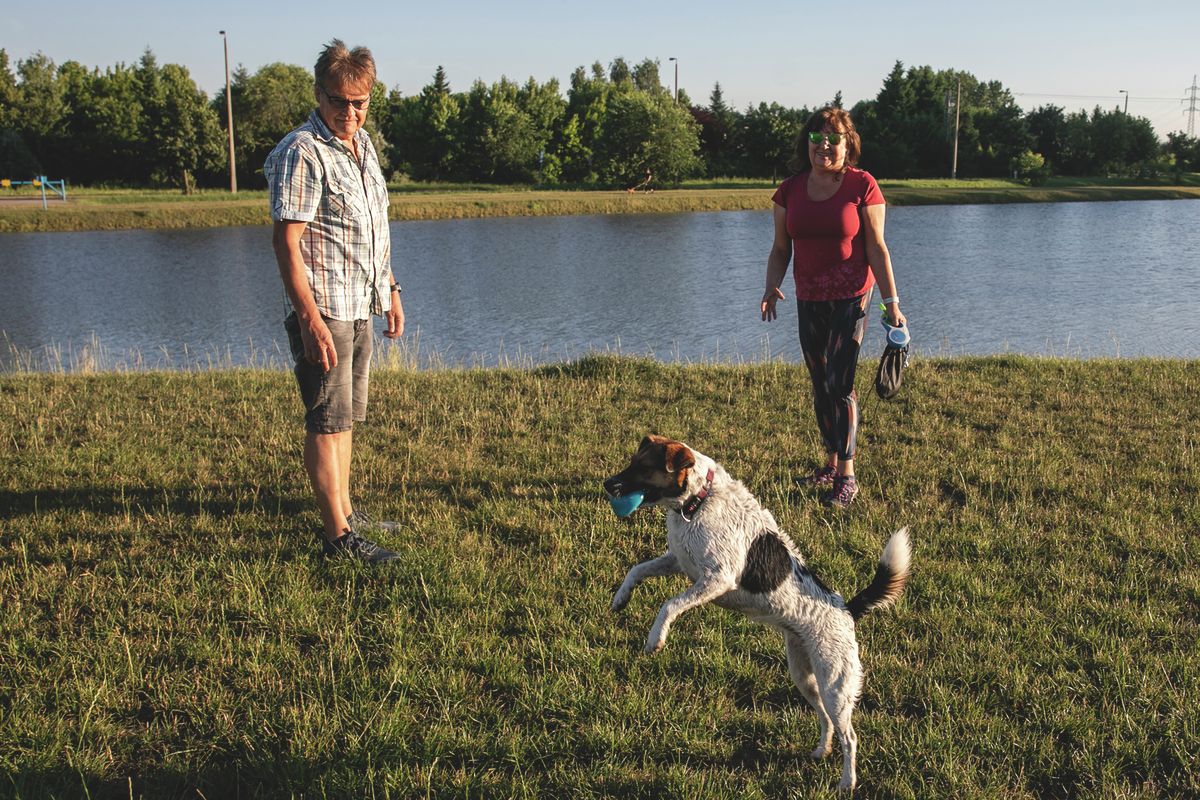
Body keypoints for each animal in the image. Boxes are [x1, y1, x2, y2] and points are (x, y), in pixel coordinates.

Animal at [604, 438, 912, 796]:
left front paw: (656, 639)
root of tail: (846, 610)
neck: (698, 501)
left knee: (850, 736)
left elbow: (669, 605)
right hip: (804, 675)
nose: (608, 485)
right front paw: (620, 599)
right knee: (824, 717)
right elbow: (636, 570)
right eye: (632, 461)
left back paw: (847, 782)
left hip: (836, 683)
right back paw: (821, 751)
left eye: (644, 467)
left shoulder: (718, 579)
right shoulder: (678, 562)